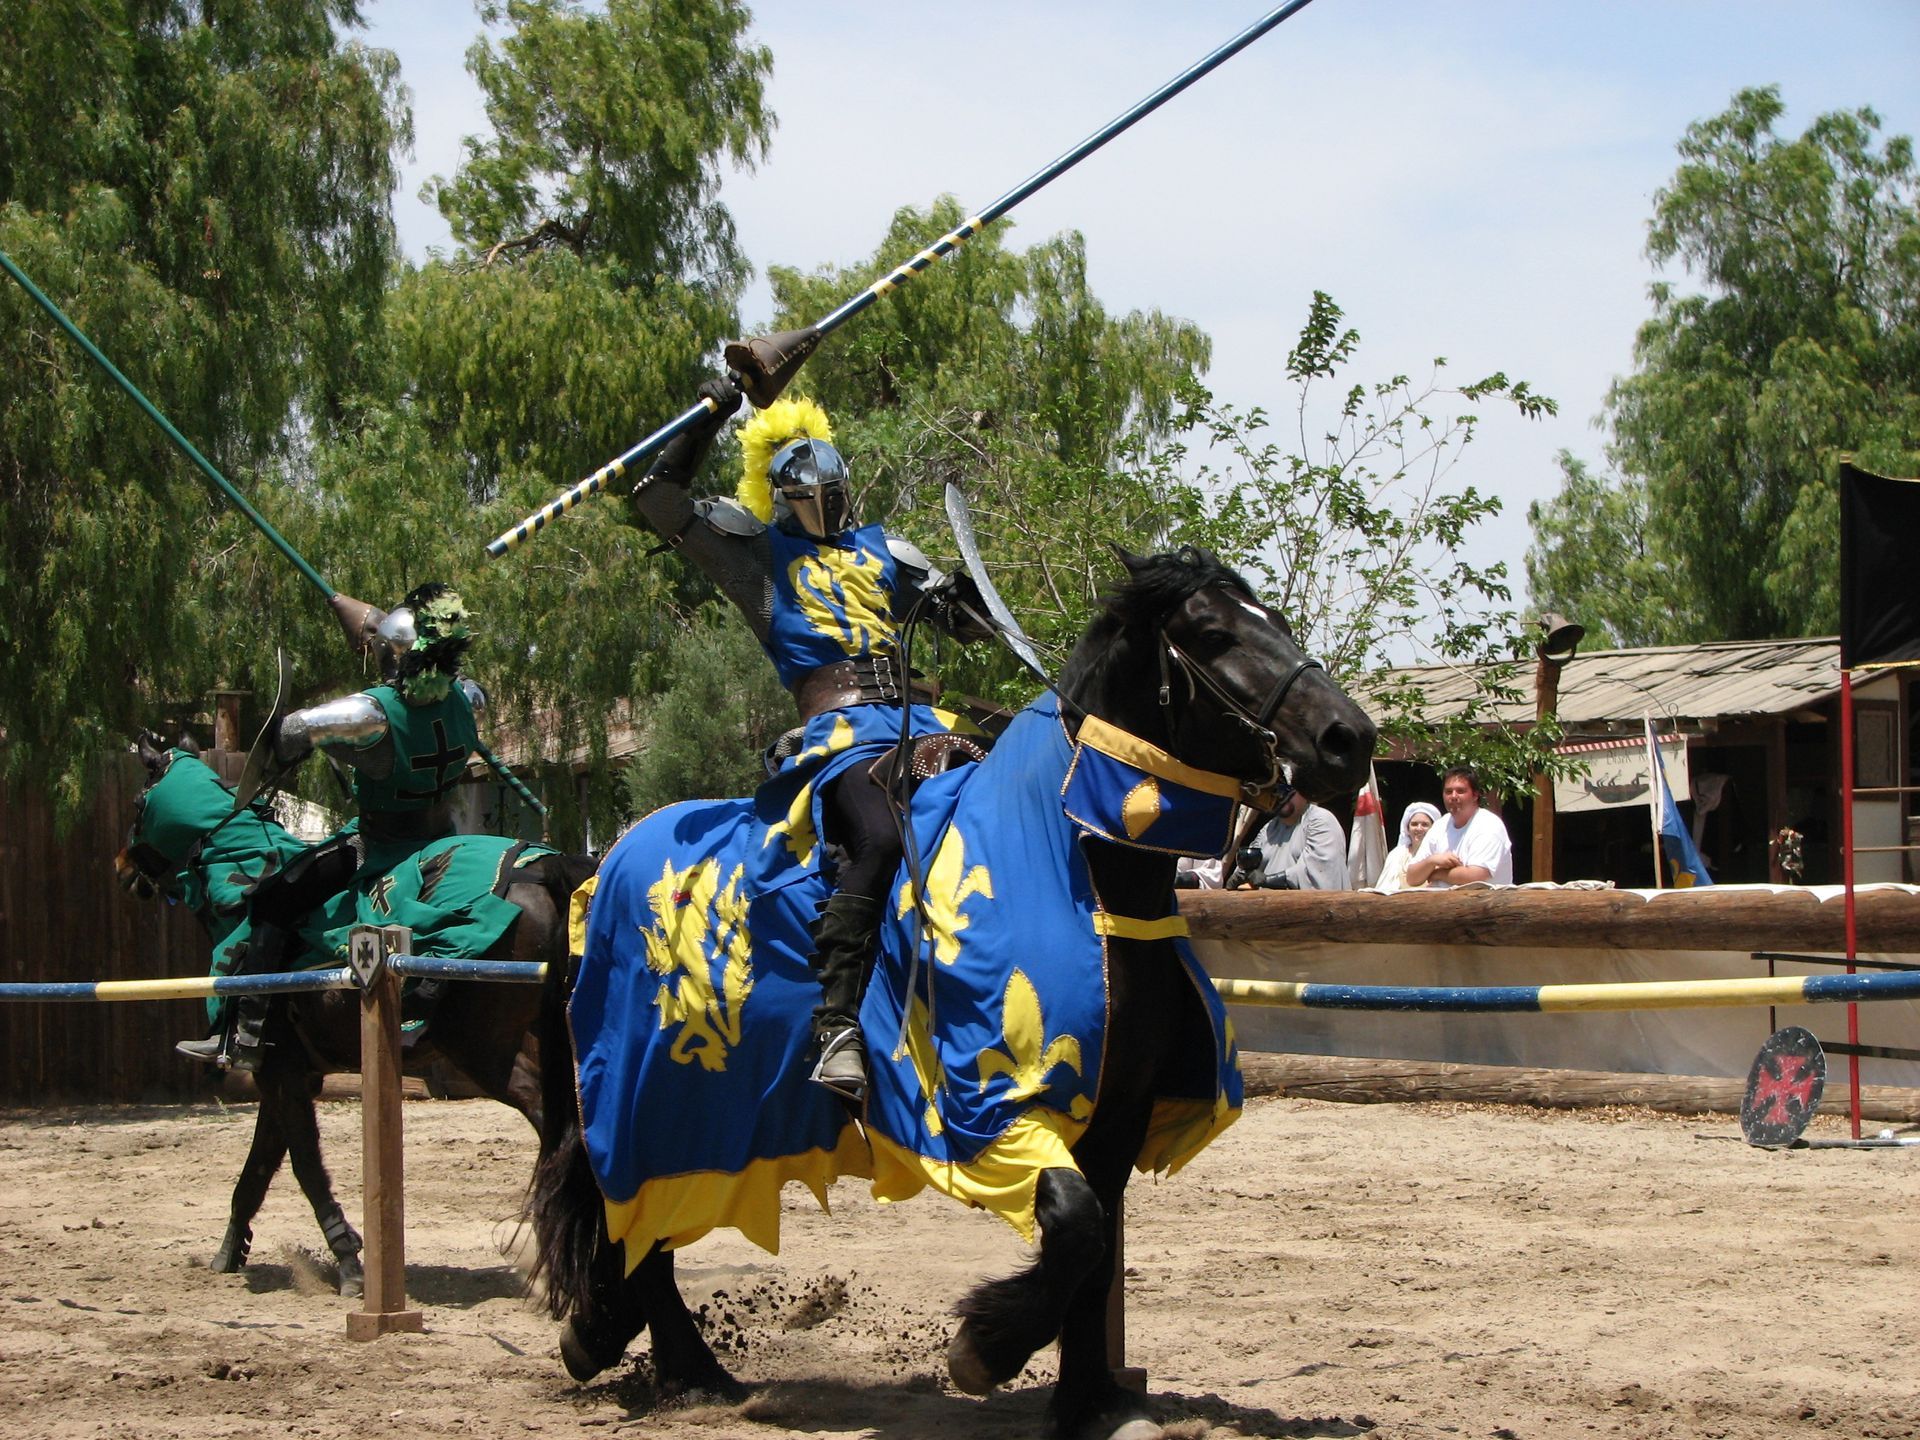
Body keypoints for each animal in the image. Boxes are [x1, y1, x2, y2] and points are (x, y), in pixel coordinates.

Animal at [116, 737, 587, 1305]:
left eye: (137, 803)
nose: (121, 868)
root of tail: (535, 872)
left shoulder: (280, 1075)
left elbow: (303, 1166)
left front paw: (348, 1263)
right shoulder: (290, 1076)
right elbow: (258, 1169)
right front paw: (229, 1252)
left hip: (486, 1053)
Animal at [518, 552, 1374, 1440]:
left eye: (1274, 618)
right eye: (1212, 633)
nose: (1349, 739)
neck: (1083, 872)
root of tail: (595, 862)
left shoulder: (1118, 1115)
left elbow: (1097, 1253)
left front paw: (1092, 1403)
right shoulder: (992, 1106)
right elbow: (1075, 1227)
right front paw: (986, 1349)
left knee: (632, 1221)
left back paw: (619, 1336)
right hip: (637, 1097)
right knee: (626, 1215)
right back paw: (684, 1367)